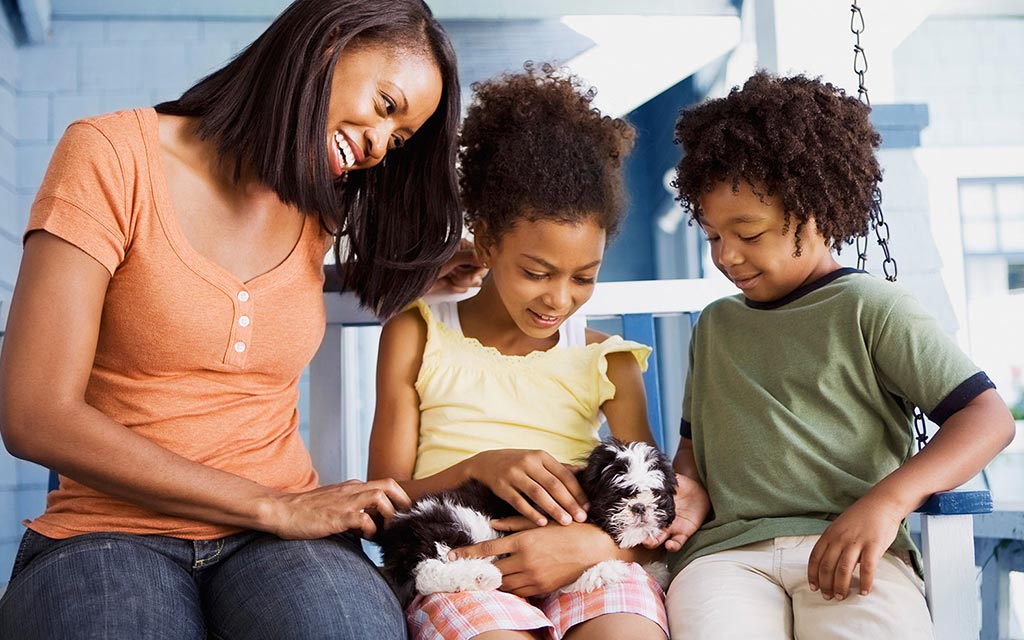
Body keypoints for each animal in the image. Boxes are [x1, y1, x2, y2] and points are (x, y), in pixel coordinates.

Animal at [372, 436, 675, 602]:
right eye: (618, 494)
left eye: (656, 494)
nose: (639, 507)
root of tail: (397, 529)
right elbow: (569, 577)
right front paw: (607, 569)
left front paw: (655, 569)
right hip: (458, 521)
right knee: (427, 570)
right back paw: (481, 575)